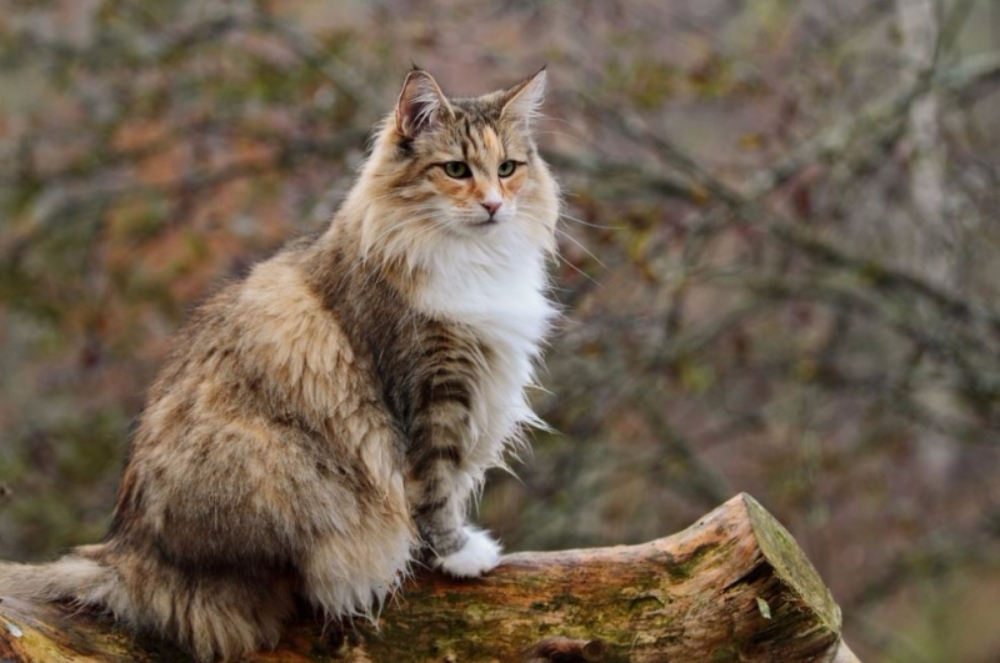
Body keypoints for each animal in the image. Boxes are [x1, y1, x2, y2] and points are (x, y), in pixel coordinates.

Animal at [0, 68, 560, 663]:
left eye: (507, 169)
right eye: (456, 170)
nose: (495, 205)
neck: (472, 262)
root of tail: (128, 552)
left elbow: (447, 485)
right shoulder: (428, 391)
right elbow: (433, 490)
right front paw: (459, 554)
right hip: (276, 462)